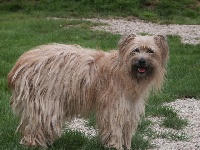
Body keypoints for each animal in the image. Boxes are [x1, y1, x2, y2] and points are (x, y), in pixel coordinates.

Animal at [8, 34, 170, 150]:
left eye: (150, 51)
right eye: (135, 50)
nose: (142, 61)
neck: (125, 71)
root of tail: (22, 62)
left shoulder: (129, 106)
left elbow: (126, 127)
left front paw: (125, 143)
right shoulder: (114, 106)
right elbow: (114, 126)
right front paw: (115, 145)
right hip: (46, 101)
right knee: (38, 124)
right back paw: (35, 143)